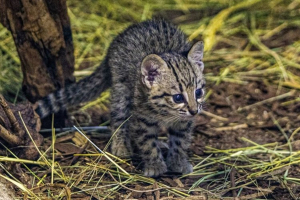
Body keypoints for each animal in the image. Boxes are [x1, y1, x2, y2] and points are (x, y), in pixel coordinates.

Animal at [34, 19, 204, 177]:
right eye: (178, 98)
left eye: (198, 93)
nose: (194, 111)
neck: (165, 112)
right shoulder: (141, 118)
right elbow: (147, 142)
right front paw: (155, 165)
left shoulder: (183, 122)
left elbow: (180, 140)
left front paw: (177, 162)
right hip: (121, 90)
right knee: (118, 118)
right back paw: (120, 145)